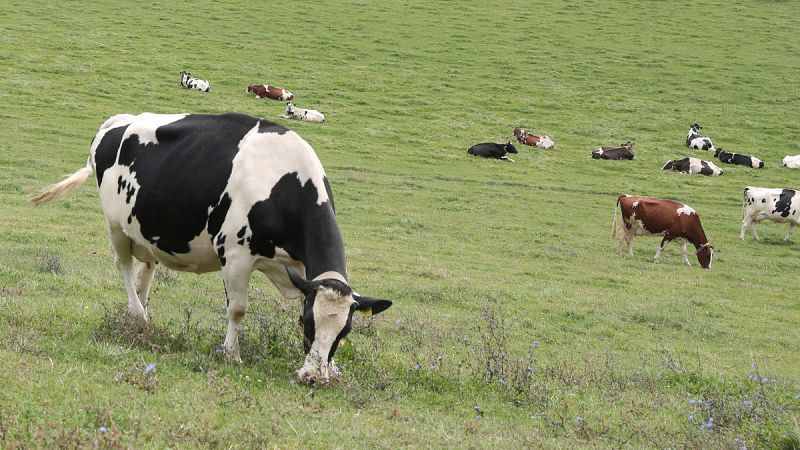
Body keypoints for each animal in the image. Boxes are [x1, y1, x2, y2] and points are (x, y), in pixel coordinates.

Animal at [30, 112, 392, 385]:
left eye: (345, 331)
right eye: (306, 323)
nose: (312, 377)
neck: (284, 181)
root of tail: (118, 121)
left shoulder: (301, 270)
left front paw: (333, 368)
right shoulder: (235, 255)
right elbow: (237, 310)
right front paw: (231, 354)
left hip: (146, 233)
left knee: (144, 275)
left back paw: (140, 320)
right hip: (116, 226)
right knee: (124, 270)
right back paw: (138, 315)